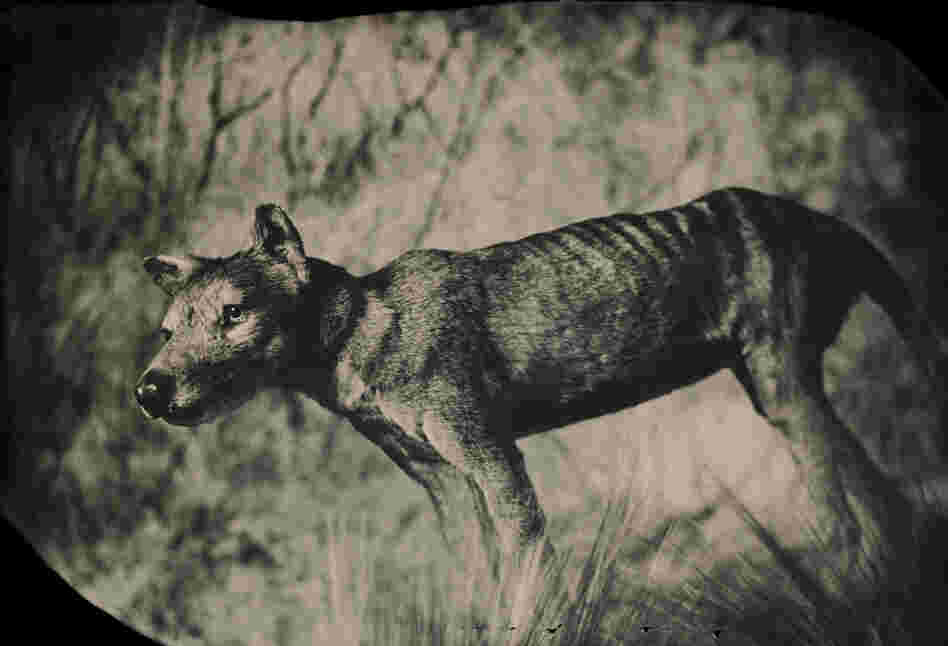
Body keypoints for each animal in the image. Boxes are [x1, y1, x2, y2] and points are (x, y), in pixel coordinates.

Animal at [136, 187, 945, 577]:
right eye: (168, 329)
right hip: (775, 393)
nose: (148, 391)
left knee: (861, 511)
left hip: (784, 390)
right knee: (882, 501)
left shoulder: (494, 460)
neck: (361, 337)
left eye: (234, 313)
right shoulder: (446, 489)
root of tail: (812, 215)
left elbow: (531, 597)